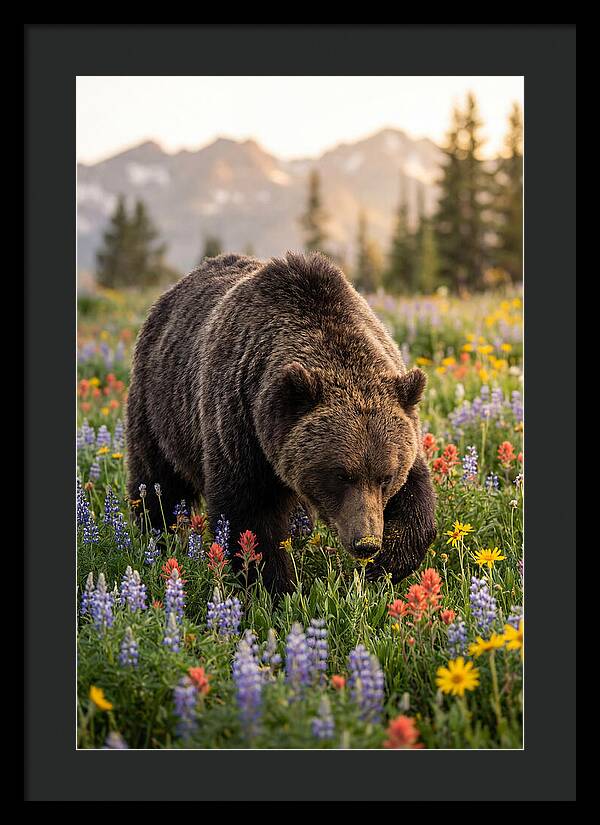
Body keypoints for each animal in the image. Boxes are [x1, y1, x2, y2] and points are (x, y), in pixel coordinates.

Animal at [126, 252, 436, 593]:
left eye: (386, 476)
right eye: (341, 475)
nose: (366, 542)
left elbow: (416, 497)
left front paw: (386, 565)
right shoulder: (240, 425)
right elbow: (249, 516)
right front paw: (274, 587)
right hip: (159, 409)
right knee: (157, 482)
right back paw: (156, 538)